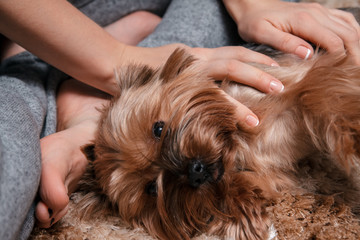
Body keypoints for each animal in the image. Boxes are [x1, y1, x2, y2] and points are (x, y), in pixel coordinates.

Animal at [77, 47, 360, 240]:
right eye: (151, 189)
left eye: (158, 128)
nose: (194, 171)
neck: (241, 146)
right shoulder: (269, 174)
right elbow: (237, 193)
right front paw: (245, 220)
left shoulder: (289, 84)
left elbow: (318, 95)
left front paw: (353, 138)